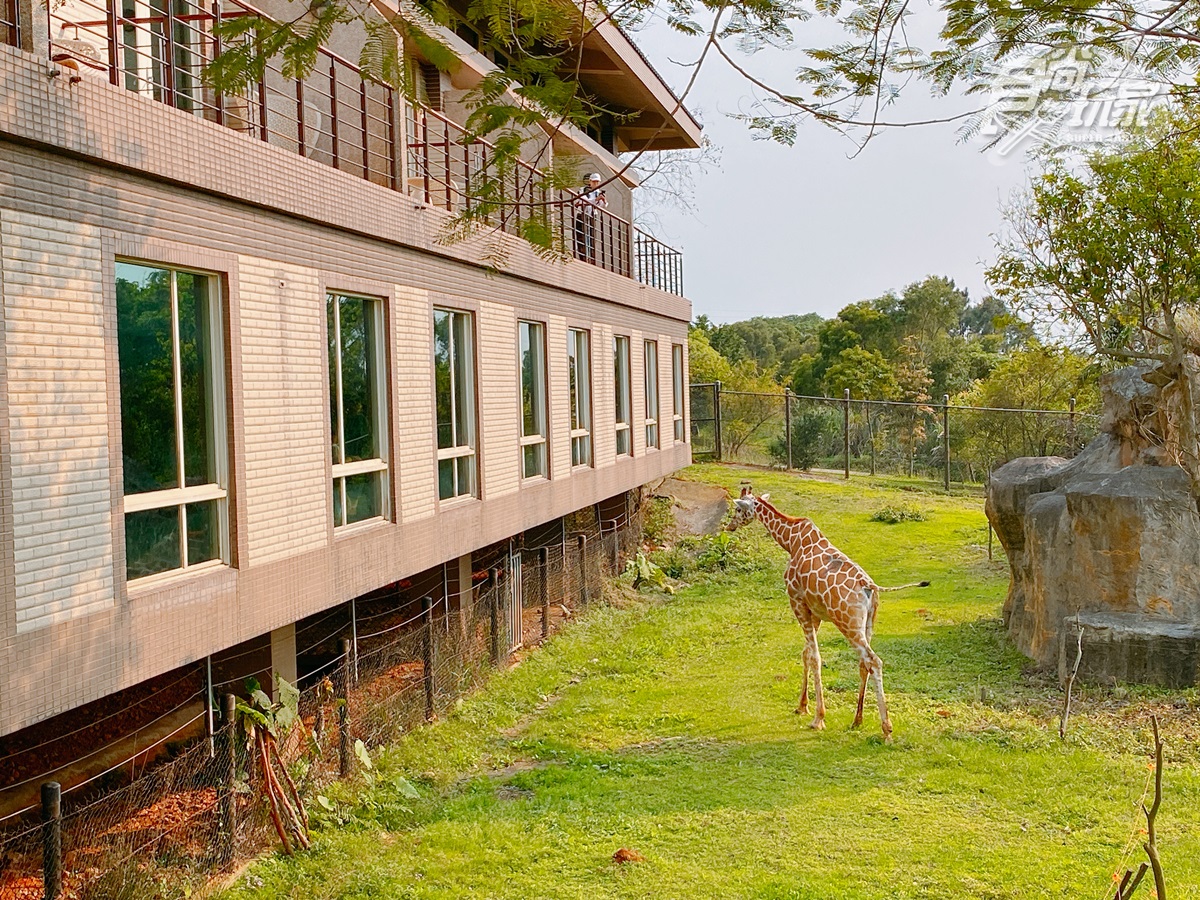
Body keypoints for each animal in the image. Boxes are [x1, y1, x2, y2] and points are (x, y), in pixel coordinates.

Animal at [720, 487, 926, 739]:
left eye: (739, 509)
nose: (730, 526)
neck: (791, 542)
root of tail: (869, 587)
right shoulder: (814, 611)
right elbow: (806, 653)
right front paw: (802, 706)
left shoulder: (797, 601)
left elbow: (815, 657)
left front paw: (818, 718)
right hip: (869, 622)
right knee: (864, 662)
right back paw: (857, 720)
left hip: (847, 623)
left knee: (874, 660)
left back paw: (886, 729)